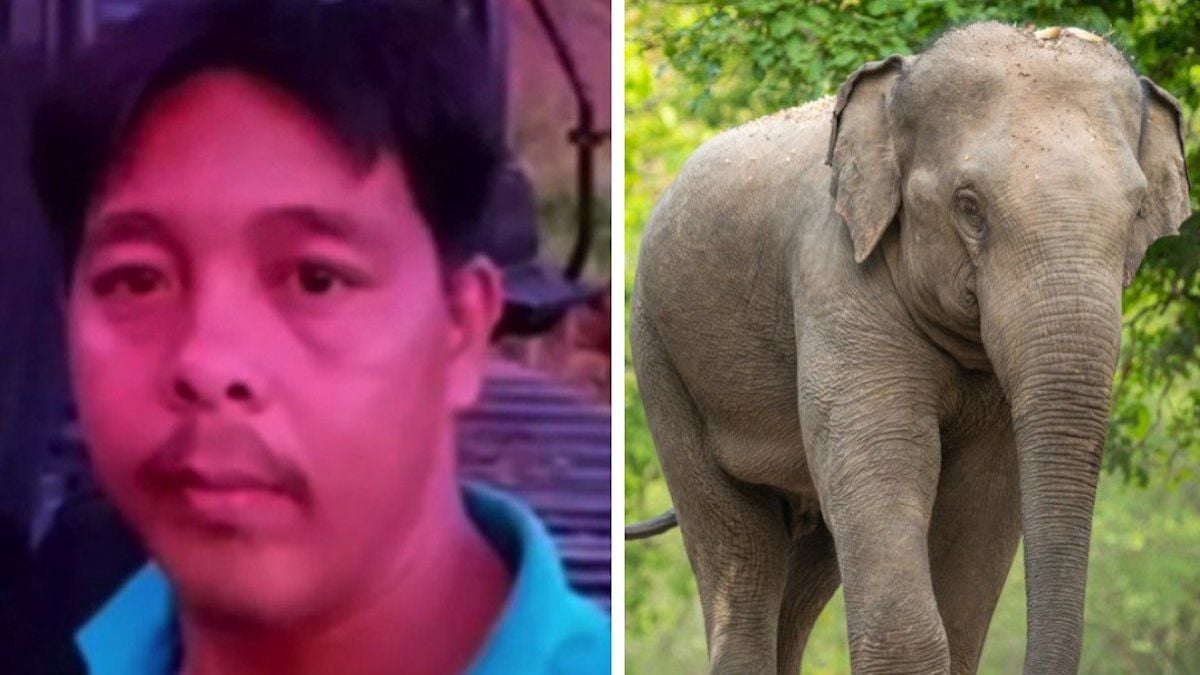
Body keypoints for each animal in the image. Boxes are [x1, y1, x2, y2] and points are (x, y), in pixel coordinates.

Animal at [627, 22, 1190, 675]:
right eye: (969, 207)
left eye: (1137, 211)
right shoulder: (836, 281)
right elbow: (887, 462)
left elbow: (983, 503)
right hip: (661, 358)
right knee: (739, 552)